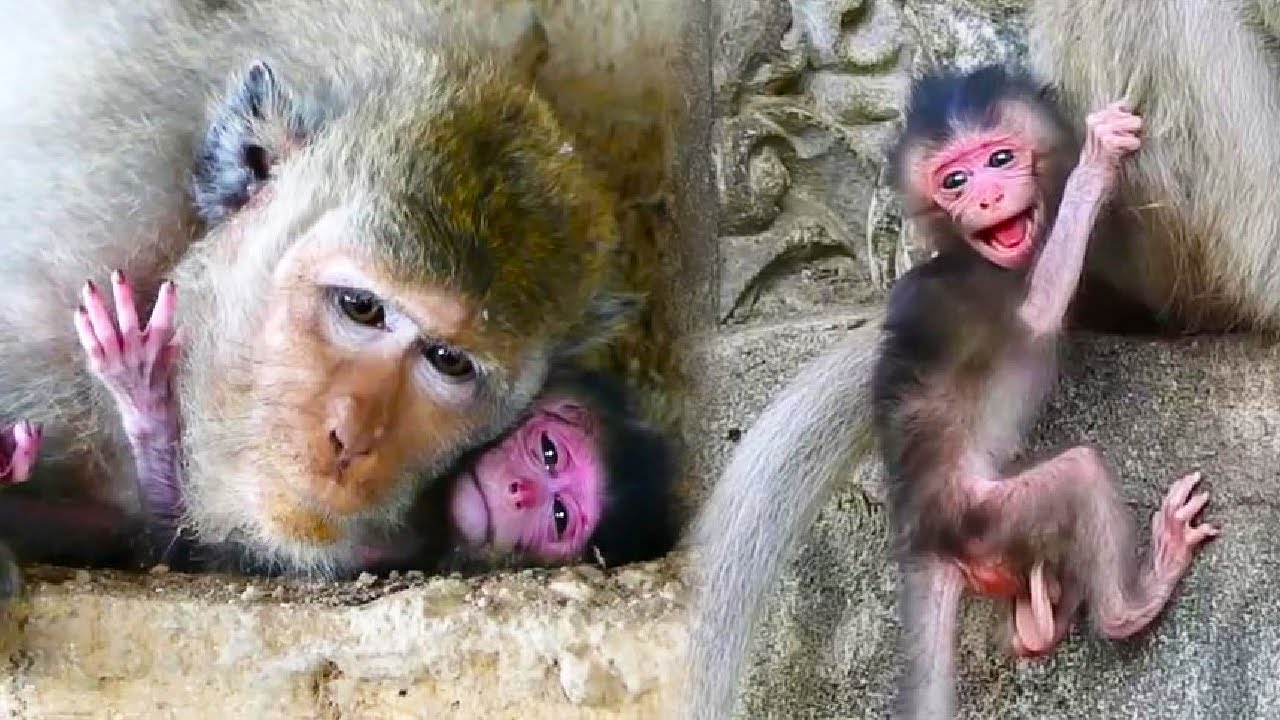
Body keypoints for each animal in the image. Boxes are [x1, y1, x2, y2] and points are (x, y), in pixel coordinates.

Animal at [682, 66, 1220, 720]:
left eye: (1000, 158)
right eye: (955, 180)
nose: (983, 198)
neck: (976, 255)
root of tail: (922, 535)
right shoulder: (975, 296)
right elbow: (1042, 310)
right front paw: (1097, 160)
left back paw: (1037, 622)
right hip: (982, 516)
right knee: (1078, 477)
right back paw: (1133, 601)